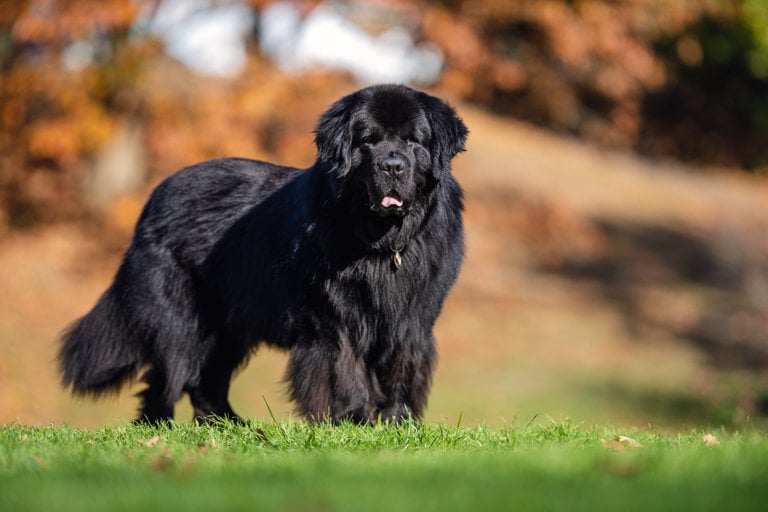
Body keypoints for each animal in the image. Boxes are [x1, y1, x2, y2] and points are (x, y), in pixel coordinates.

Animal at [60, 83, 468, 424]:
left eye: (414, 141)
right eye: (368, 141)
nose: (392, 165)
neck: (382, 243)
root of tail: (155, 196)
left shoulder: (412, 318)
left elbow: (402, 368)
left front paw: (398, 421)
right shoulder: (334, 318)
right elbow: (344, 367)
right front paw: (354, 418)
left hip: (230, 325)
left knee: (208, 378)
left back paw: (228, 426)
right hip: (180, 319)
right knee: (168, 373)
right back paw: (158, 427)